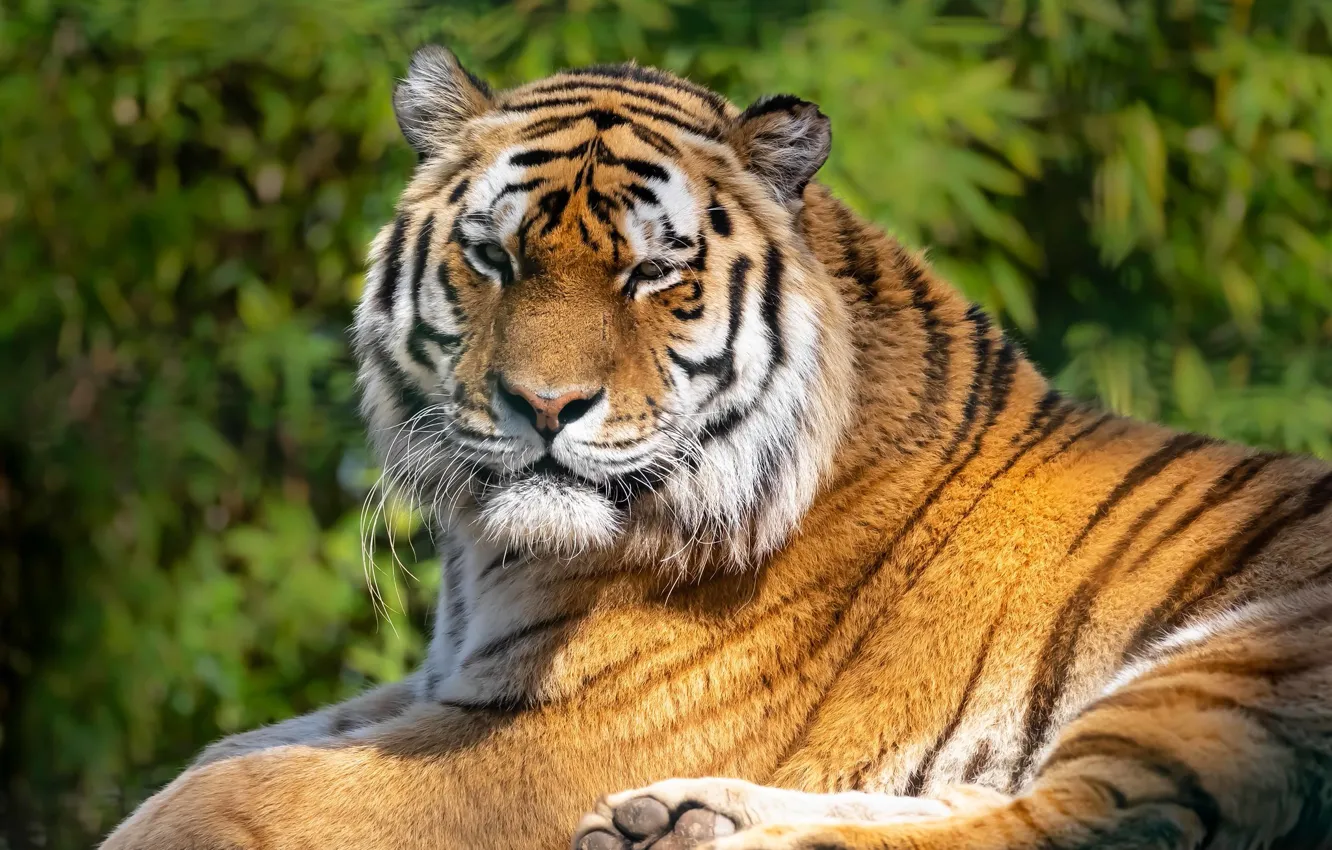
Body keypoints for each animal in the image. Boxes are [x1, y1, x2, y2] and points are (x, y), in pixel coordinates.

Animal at [102, 44, 1332, 850]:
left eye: (653, 272)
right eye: (494, 258)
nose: (543, 405)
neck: (497, 563)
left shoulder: (549, 741)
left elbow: (229, 793)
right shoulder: (445, 684)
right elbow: (223, 753)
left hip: (1237, 667)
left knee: (1089, 825)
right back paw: (681, 817)